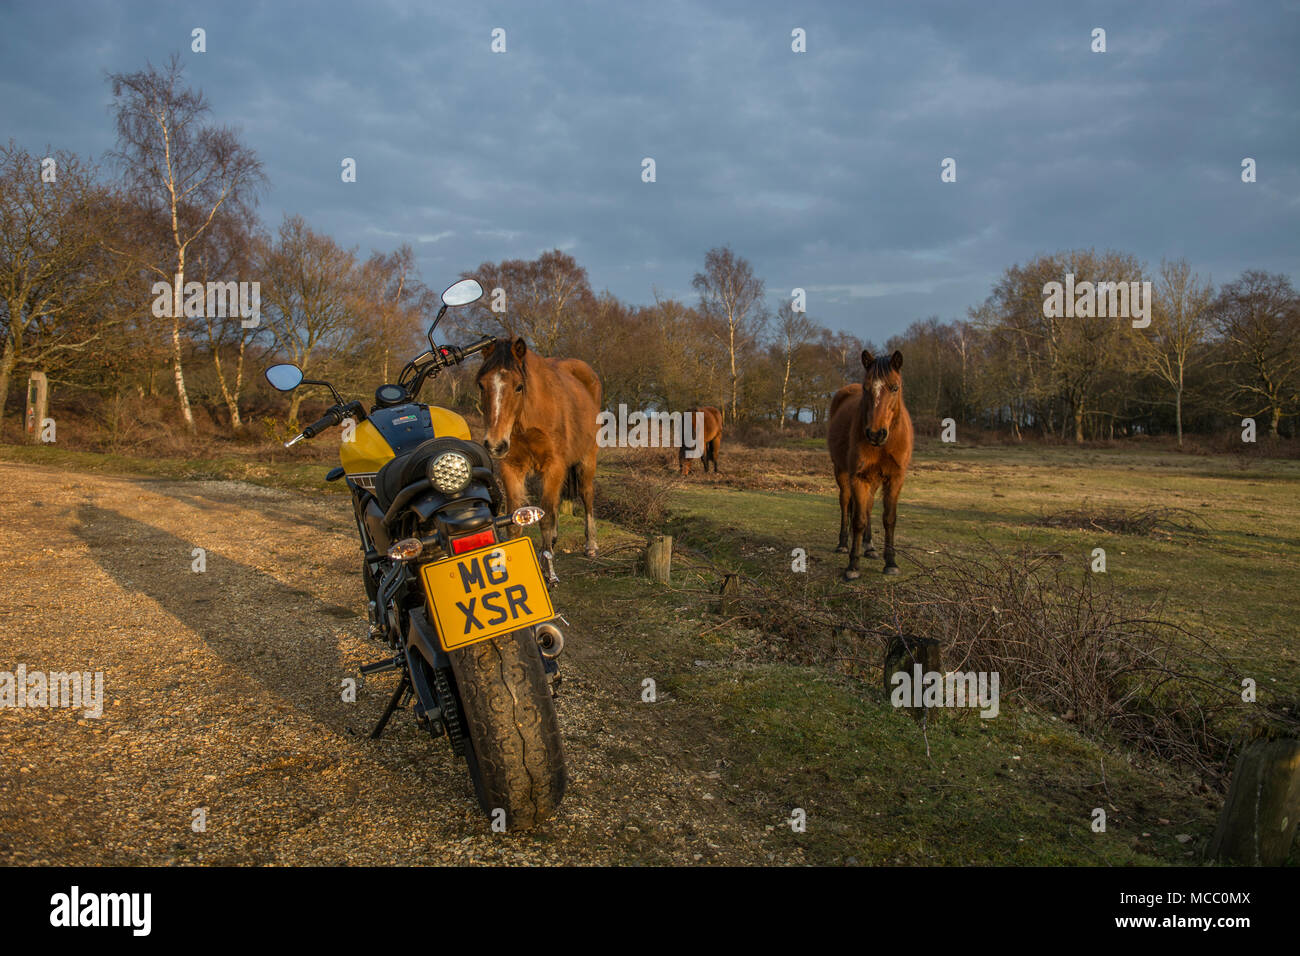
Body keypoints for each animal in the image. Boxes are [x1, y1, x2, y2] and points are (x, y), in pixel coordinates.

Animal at [478, 340, 603, 587]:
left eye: (519, 387)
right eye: (481, 385)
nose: (494, 445)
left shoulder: (553, 466)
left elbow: (545, 520)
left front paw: (549, 572)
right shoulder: (511, 468)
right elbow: (516, 520)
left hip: (587, 460)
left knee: (587, 496)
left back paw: (590, 545)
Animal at [826, 348, 909, 574]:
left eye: (895, 387)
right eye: (866, 388)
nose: (875, 434)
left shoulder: (895, 478)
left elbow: (889, 519)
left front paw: (891, 562)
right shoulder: (858, 477)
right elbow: (858, 519)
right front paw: (853, 565)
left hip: (873, 479)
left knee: (869, 506)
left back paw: (870, 547)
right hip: (842, 472)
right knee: (846, 503)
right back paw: (843, 544)